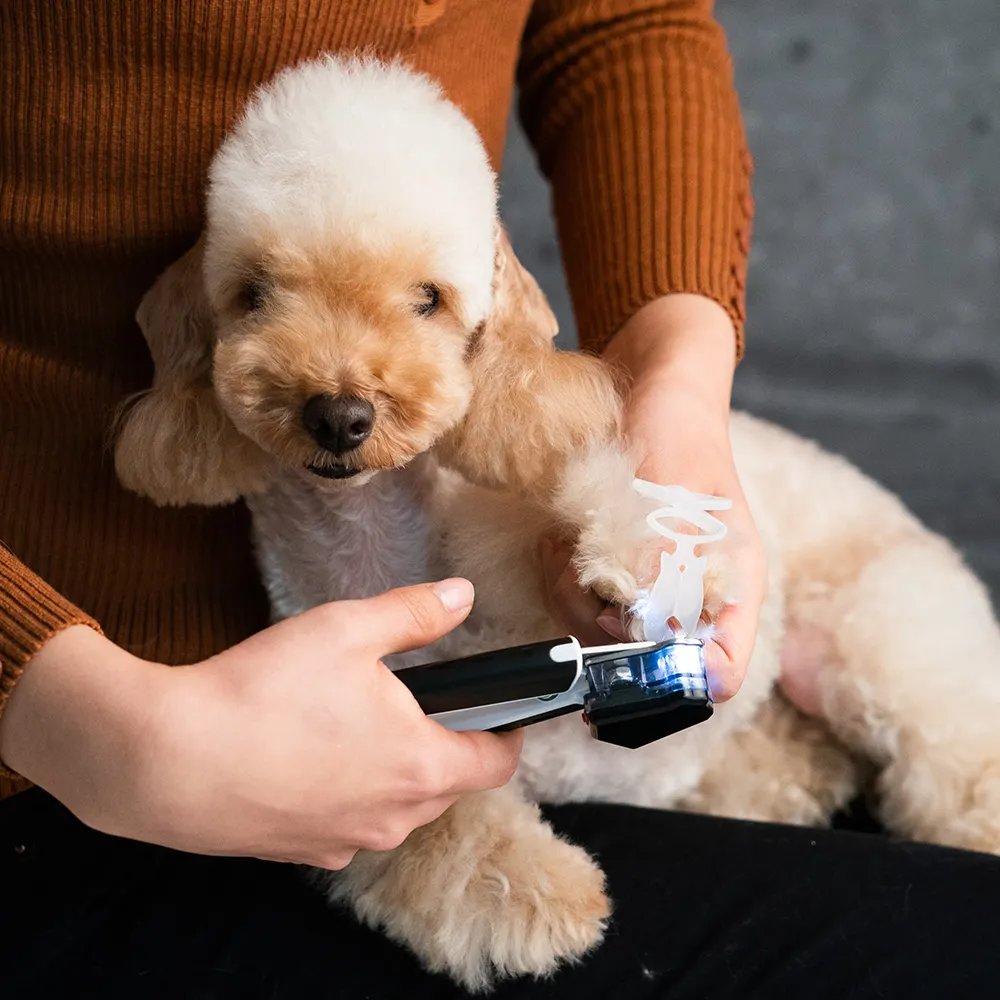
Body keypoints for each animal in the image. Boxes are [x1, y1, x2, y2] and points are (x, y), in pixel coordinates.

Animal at [115, 56, 1000, 992]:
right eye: (254, 295)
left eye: (429, 298)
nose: (340, 415)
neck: (382, 544)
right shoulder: (365, 741)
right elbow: (441, 832)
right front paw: (542, 897)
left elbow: (605, 511)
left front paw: (650, 563)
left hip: (885, 639)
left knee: (958, 759)